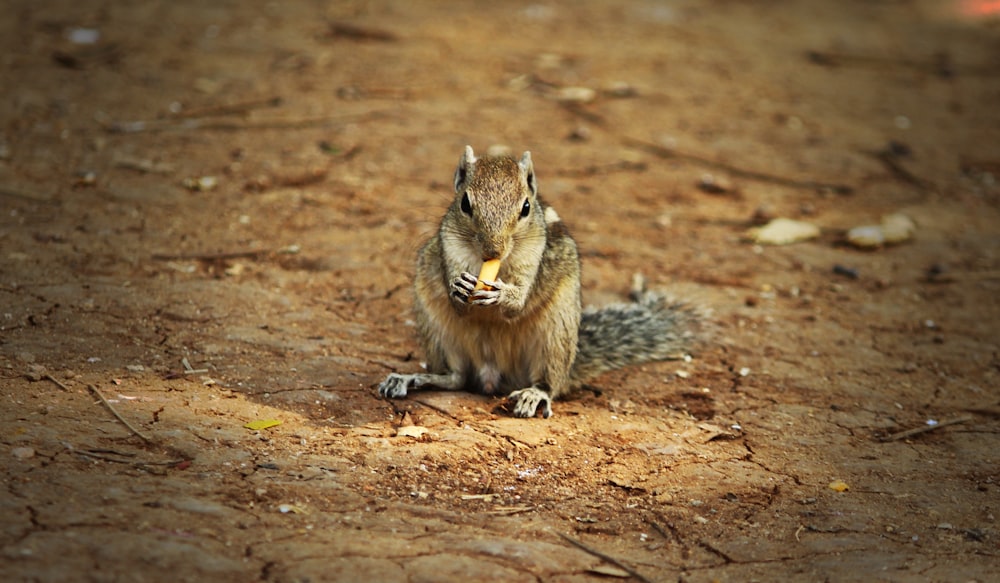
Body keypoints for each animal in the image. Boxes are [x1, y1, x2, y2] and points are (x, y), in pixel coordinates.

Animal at [378, 146, 708, 420]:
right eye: (465, 203)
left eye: (525, 207)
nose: (493, 251)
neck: (496, 265)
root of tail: (492, 377)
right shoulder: (450, 250)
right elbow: (458, 301)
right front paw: (458, 289)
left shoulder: (533, 261)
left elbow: (518, 303)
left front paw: (503, 296)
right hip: (435, 329)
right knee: (454, 378)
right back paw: (409, 379)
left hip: (555, 336)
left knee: (550, 385)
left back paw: (534, 396)